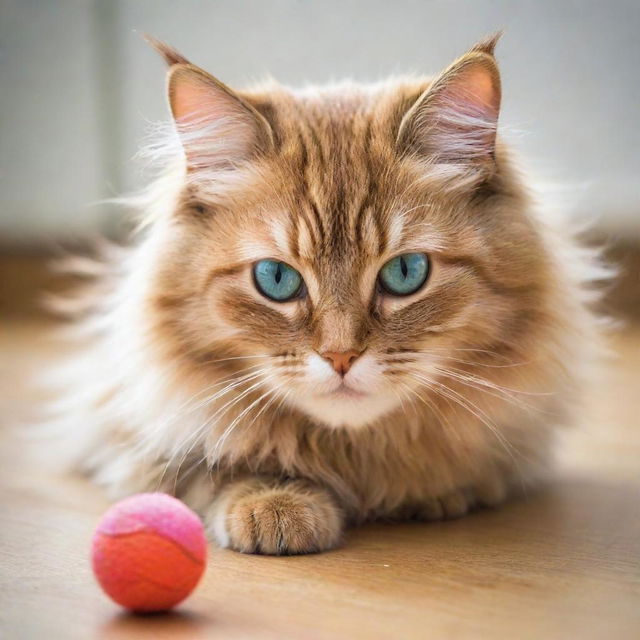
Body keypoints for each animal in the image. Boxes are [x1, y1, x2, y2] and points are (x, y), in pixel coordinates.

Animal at [51, 35, 604, 556]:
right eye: (276, 279)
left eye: (406, 272)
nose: (341, 357)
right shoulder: (121, 422)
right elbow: (209, 462)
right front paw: (276, 502)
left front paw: (433, 492)